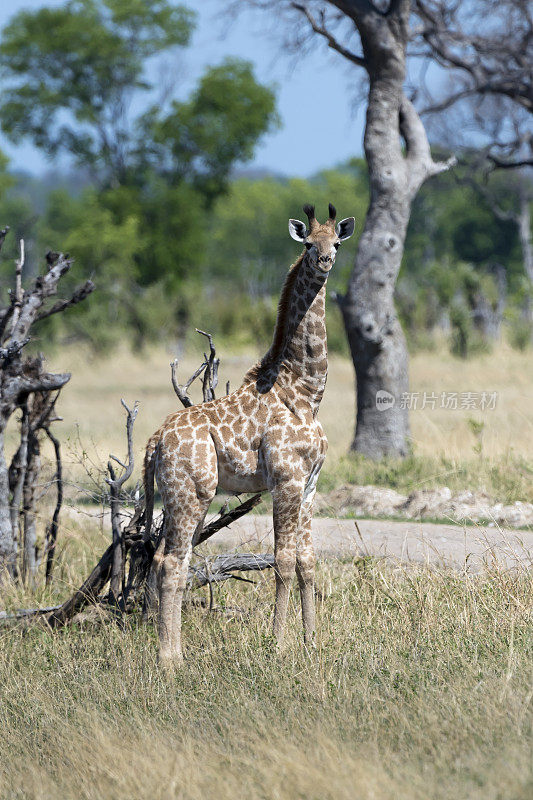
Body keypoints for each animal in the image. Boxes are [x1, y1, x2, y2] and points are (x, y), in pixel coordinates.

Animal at [143, 203, 356, 664]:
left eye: (337, 241)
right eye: (308, 244)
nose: (325, 261)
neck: (306, 391)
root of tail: (154, 441)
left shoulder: (310, 484)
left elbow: (308, 561)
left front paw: (312, 642)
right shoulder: (286, 480)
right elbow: (283, 560)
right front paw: (277, 644)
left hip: (181, 495)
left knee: (168, 558)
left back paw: (173, 653)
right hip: (192, 492)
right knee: (171, 561)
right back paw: (170, 661)